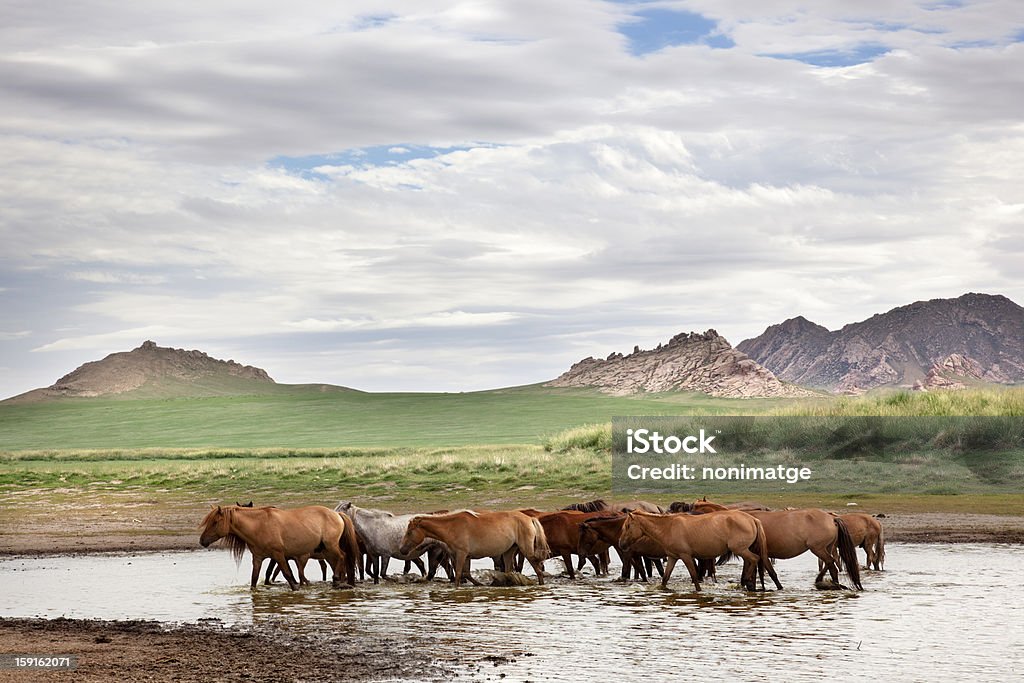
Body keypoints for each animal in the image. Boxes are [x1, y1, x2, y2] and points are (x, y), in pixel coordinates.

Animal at [199, 505, 360, 589]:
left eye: (215, 522)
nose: (202, 541)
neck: (259, 526)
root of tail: (337, 514)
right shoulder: (258, 558)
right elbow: (254, 578)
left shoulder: (278, 555)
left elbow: (287, 574)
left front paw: (296, 588)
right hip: (326, 551)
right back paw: (340, 581)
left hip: (331, 546)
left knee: (342, 556)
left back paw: (337, 579)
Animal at [397, 509, 548, 585]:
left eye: (409, 532)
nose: (402, 549)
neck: (451, 527)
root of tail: (529, 518)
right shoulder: (466, 556)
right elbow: (466, 574)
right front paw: (479, 585)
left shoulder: (461, 554)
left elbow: (458, 575)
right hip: (509, 552)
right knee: (509, 572)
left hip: (526, 551)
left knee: (538, 569)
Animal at [618, 509, 778, 589]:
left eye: (628, 526)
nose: (621, 544)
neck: (668, 527)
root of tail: (752, 519)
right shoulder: (673, 557)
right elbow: (665, 578)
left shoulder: (686, 556)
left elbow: (695, 577)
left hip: (741, 549)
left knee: (754, 559)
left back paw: (746, 582)